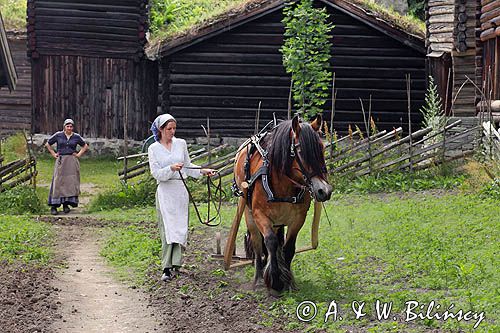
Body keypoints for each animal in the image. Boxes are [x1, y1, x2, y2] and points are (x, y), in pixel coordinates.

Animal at [233, 114, 332, 294]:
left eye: (322, 148)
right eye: (301, 151)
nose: (324, 190)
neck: (283, 184)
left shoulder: (298, 219)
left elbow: (288, 248)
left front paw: (288, 280)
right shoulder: (260, 215)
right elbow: (271, 242)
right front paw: (275, 280)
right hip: (249, 214)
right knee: (258, 244)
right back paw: (258, 277)